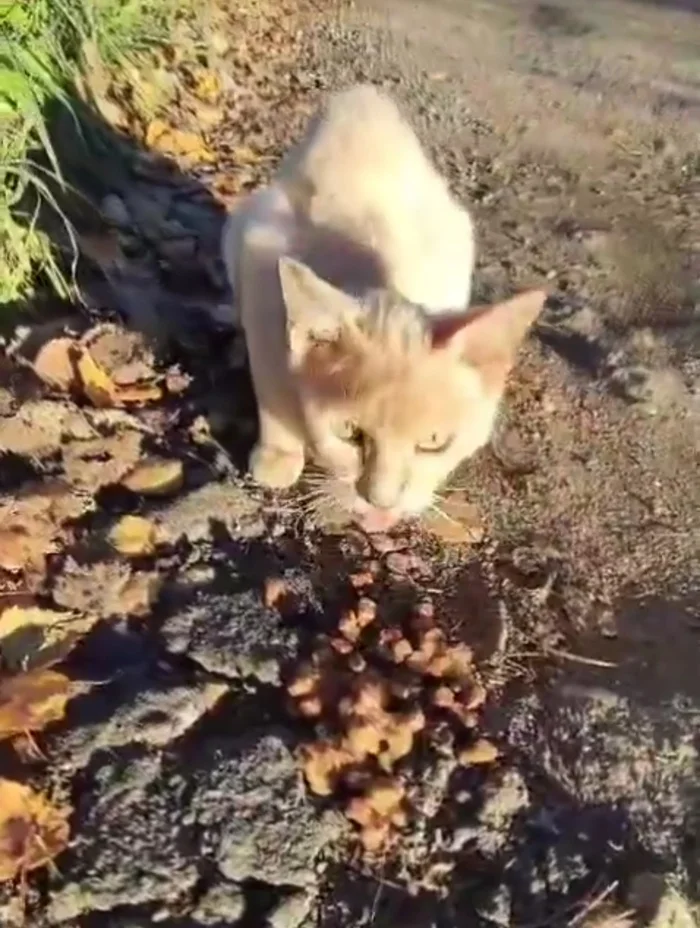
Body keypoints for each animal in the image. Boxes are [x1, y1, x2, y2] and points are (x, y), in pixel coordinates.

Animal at [221, 86, 544, 532]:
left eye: (434, 443)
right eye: (348, 433)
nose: (381, 503)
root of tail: (362, 95)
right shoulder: (260, 261)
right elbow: (271, 378)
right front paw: (279, 453)